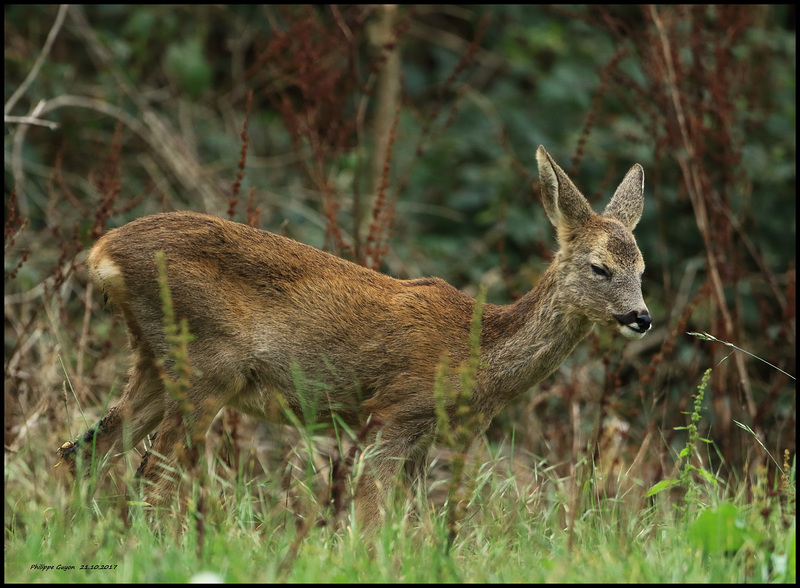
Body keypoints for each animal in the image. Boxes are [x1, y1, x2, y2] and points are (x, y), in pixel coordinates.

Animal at [59, 146, 652, 532]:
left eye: (642, 269)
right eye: (599, 267)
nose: (641, 317)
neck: (477, 352)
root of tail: (103, 253)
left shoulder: (424, 435)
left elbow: (411, 523)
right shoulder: (394, 410)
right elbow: (369, 518)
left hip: (154, 360)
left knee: (82, 451)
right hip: (207, 363)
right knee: (152, 478)